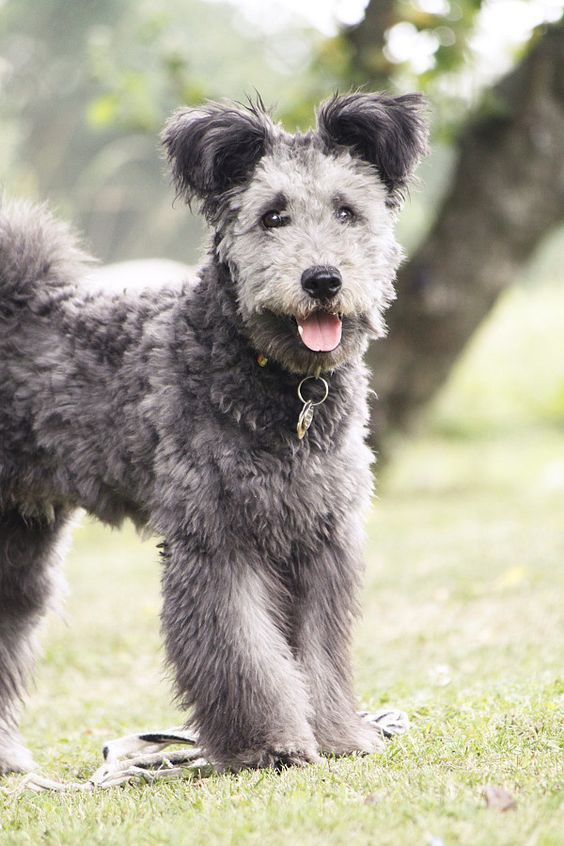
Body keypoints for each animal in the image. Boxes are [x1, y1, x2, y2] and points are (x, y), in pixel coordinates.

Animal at [0, 93, 428, 776]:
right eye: (273, 215)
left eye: (347, 211)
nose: (323, 280)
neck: (283, 389)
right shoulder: (218, 539)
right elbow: (244, 653)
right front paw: (268, 745)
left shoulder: (319, 538)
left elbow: (320, 656)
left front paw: (338, 735)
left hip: (20, 542)